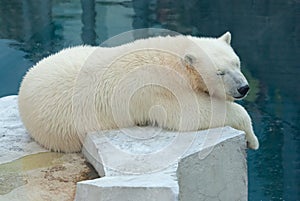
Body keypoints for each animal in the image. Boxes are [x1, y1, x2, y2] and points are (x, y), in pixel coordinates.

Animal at [18, 32, 258, 152]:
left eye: (236, 63)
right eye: (220, 72)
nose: (243, 88)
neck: (172, 58)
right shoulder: (160, 89)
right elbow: (191, 114)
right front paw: (252, 139)